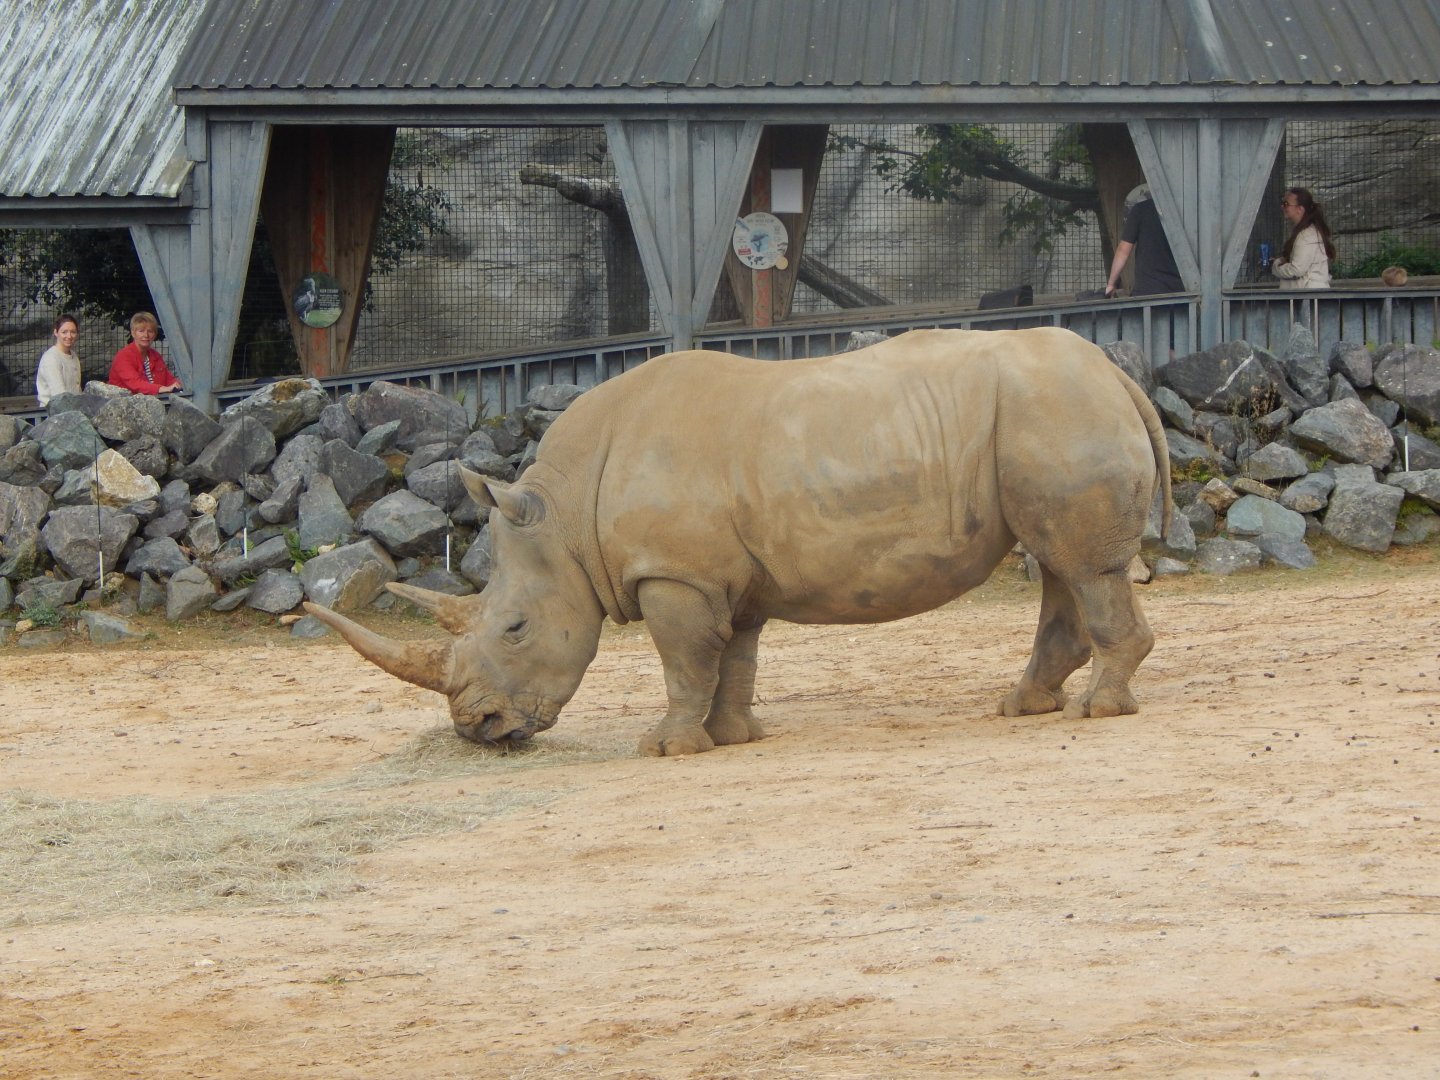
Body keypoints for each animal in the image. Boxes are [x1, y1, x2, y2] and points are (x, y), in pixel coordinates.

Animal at [306, 327, 1171, 757]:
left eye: (514, 627)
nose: (478, 731)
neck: (564, 515)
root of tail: (1120, 374)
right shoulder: (725, 577)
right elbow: (734, 658)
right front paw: (732, 738)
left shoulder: (674, 575)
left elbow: (684, 660)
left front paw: (667, 749)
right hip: (1047, 416)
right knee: (1059, 562)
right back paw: (1023, 706)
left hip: (1056, 412)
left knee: (1082, 567)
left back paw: (1098, 712)